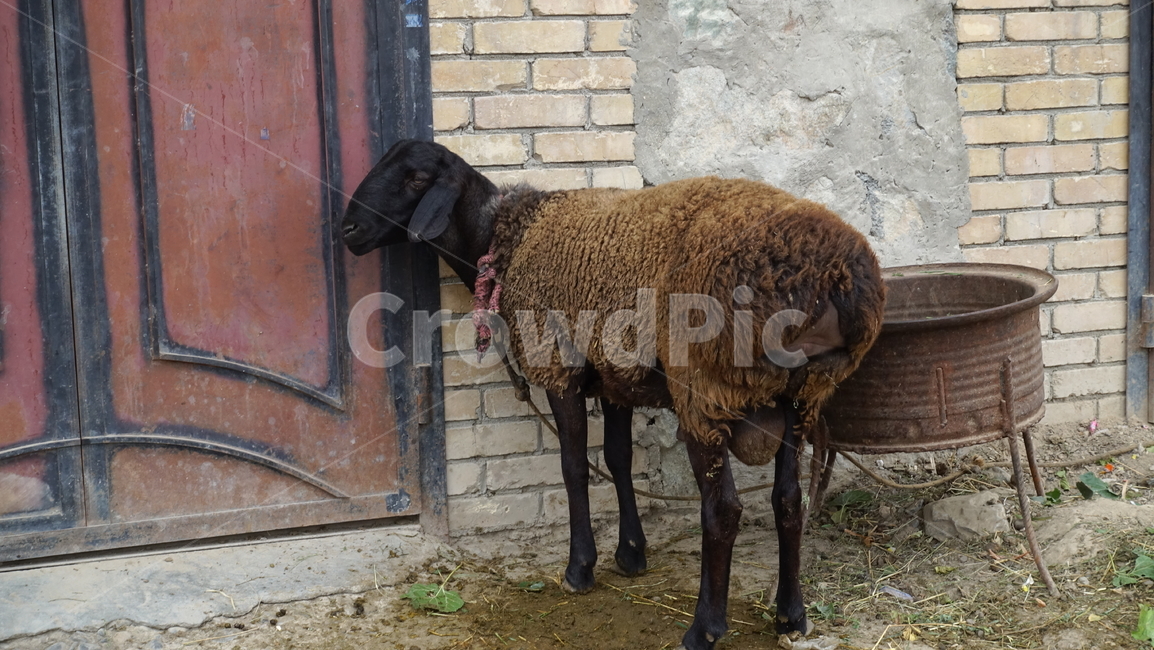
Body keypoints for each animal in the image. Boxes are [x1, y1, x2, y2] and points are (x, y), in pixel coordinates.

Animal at [342, 139, 885, 650]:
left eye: (416, 178)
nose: (347, 231)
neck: (507, 237)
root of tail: (833, 276)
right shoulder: (615, 375)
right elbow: (619, 458)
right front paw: (631, 553)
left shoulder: (560, 365)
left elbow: (575, 467)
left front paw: (580, 567)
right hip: (802, 396)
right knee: (789, 500)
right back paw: (791, 615)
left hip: (704, 387)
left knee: (724, 510)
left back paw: (703, 629)